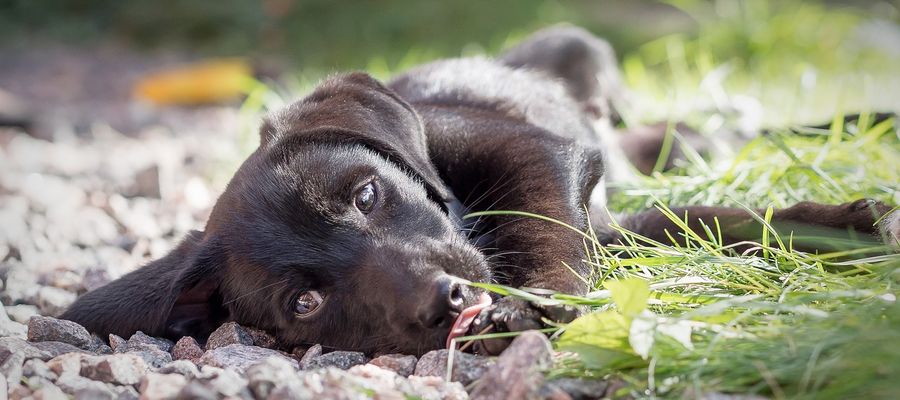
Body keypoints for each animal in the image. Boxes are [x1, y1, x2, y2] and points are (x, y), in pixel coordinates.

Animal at [61, 25, 892, 356]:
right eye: (304, 303)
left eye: (367, 196)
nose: (449, 303)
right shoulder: (616, 228)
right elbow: (716, 222)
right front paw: (847, 229)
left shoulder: (539, 155)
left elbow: (544, 227)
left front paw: (550, 304)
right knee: (695, 141)